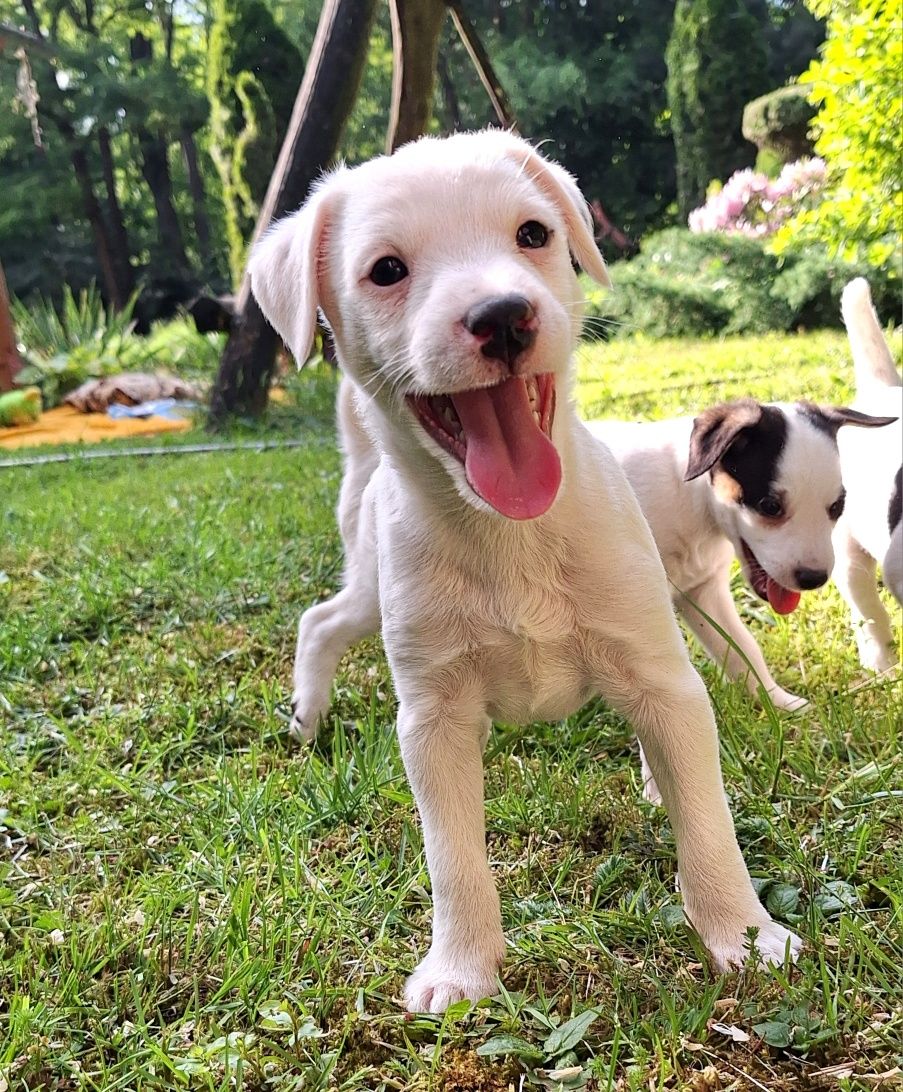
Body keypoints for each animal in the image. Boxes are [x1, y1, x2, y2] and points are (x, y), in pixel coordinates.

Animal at [246, 127, 799, 1013]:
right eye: (386, 270)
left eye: (532, 234)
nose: (502, 317)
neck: (512, 537)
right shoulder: (432, 719)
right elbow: (452, 856)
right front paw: (461, 967)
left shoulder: (660, 676)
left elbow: (707, 818)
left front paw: (742, 934)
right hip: (373, 593)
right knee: (321, 621)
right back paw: (307, 715)